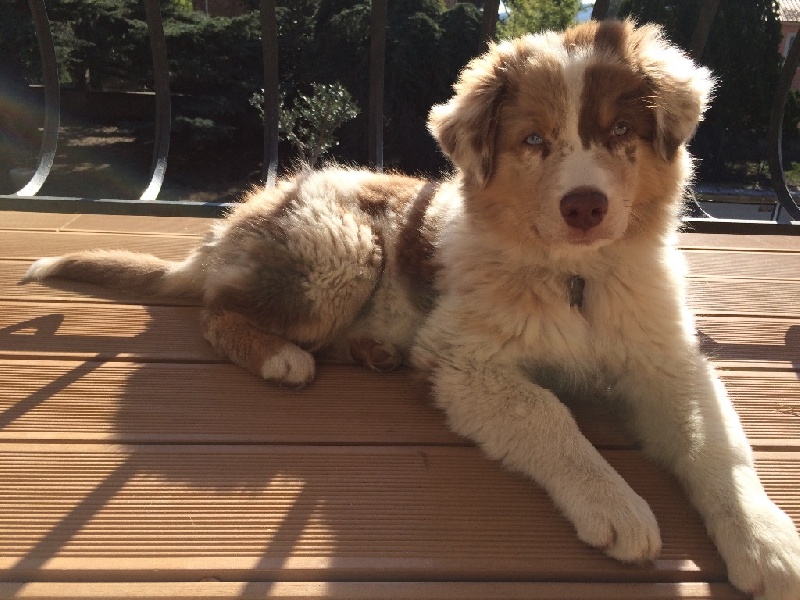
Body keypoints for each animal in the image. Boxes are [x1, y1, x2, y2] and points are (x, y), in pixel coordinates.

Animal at [23, 20, 800, 598]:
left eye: (619, 134)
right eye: (534, 140)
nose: (585, 206)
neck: (576, 280)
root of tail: (238, 218)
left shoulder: (666, 360)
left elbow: (717, 446)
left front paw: (769, 542)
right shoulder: (464, 362)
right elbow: (549, 415)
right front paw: (615, 505)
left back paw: (374, 350)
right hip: (340, 250)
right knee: (217, 313)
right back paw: (280, 357)